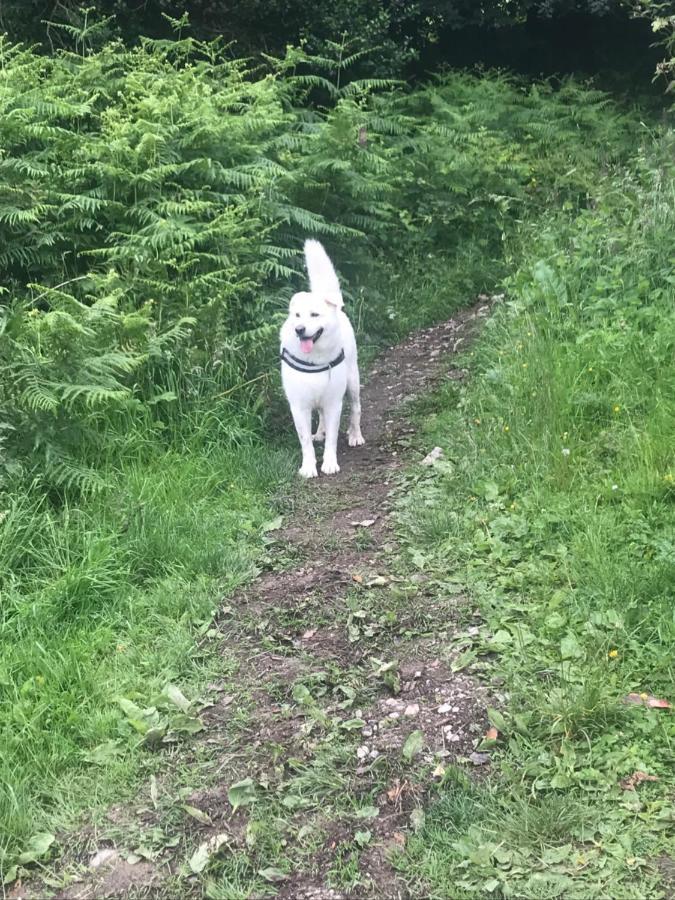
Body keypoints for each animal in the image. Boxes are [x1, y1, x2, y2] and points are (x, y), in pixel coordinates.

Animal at [280, 239, 364, 478]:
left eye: (315, 315)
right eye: (297, 315)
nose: (299, 330)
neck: (314, 359)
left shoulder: (334, 402)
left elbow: (333, 440)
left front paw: (329, 464)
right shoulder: (299, 406)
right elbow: (305, 441)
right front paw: (308, 467)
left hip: (353, 382)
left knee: (356, 409)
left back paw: (356, 435)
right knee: (321, 417)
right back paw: (320, 433)